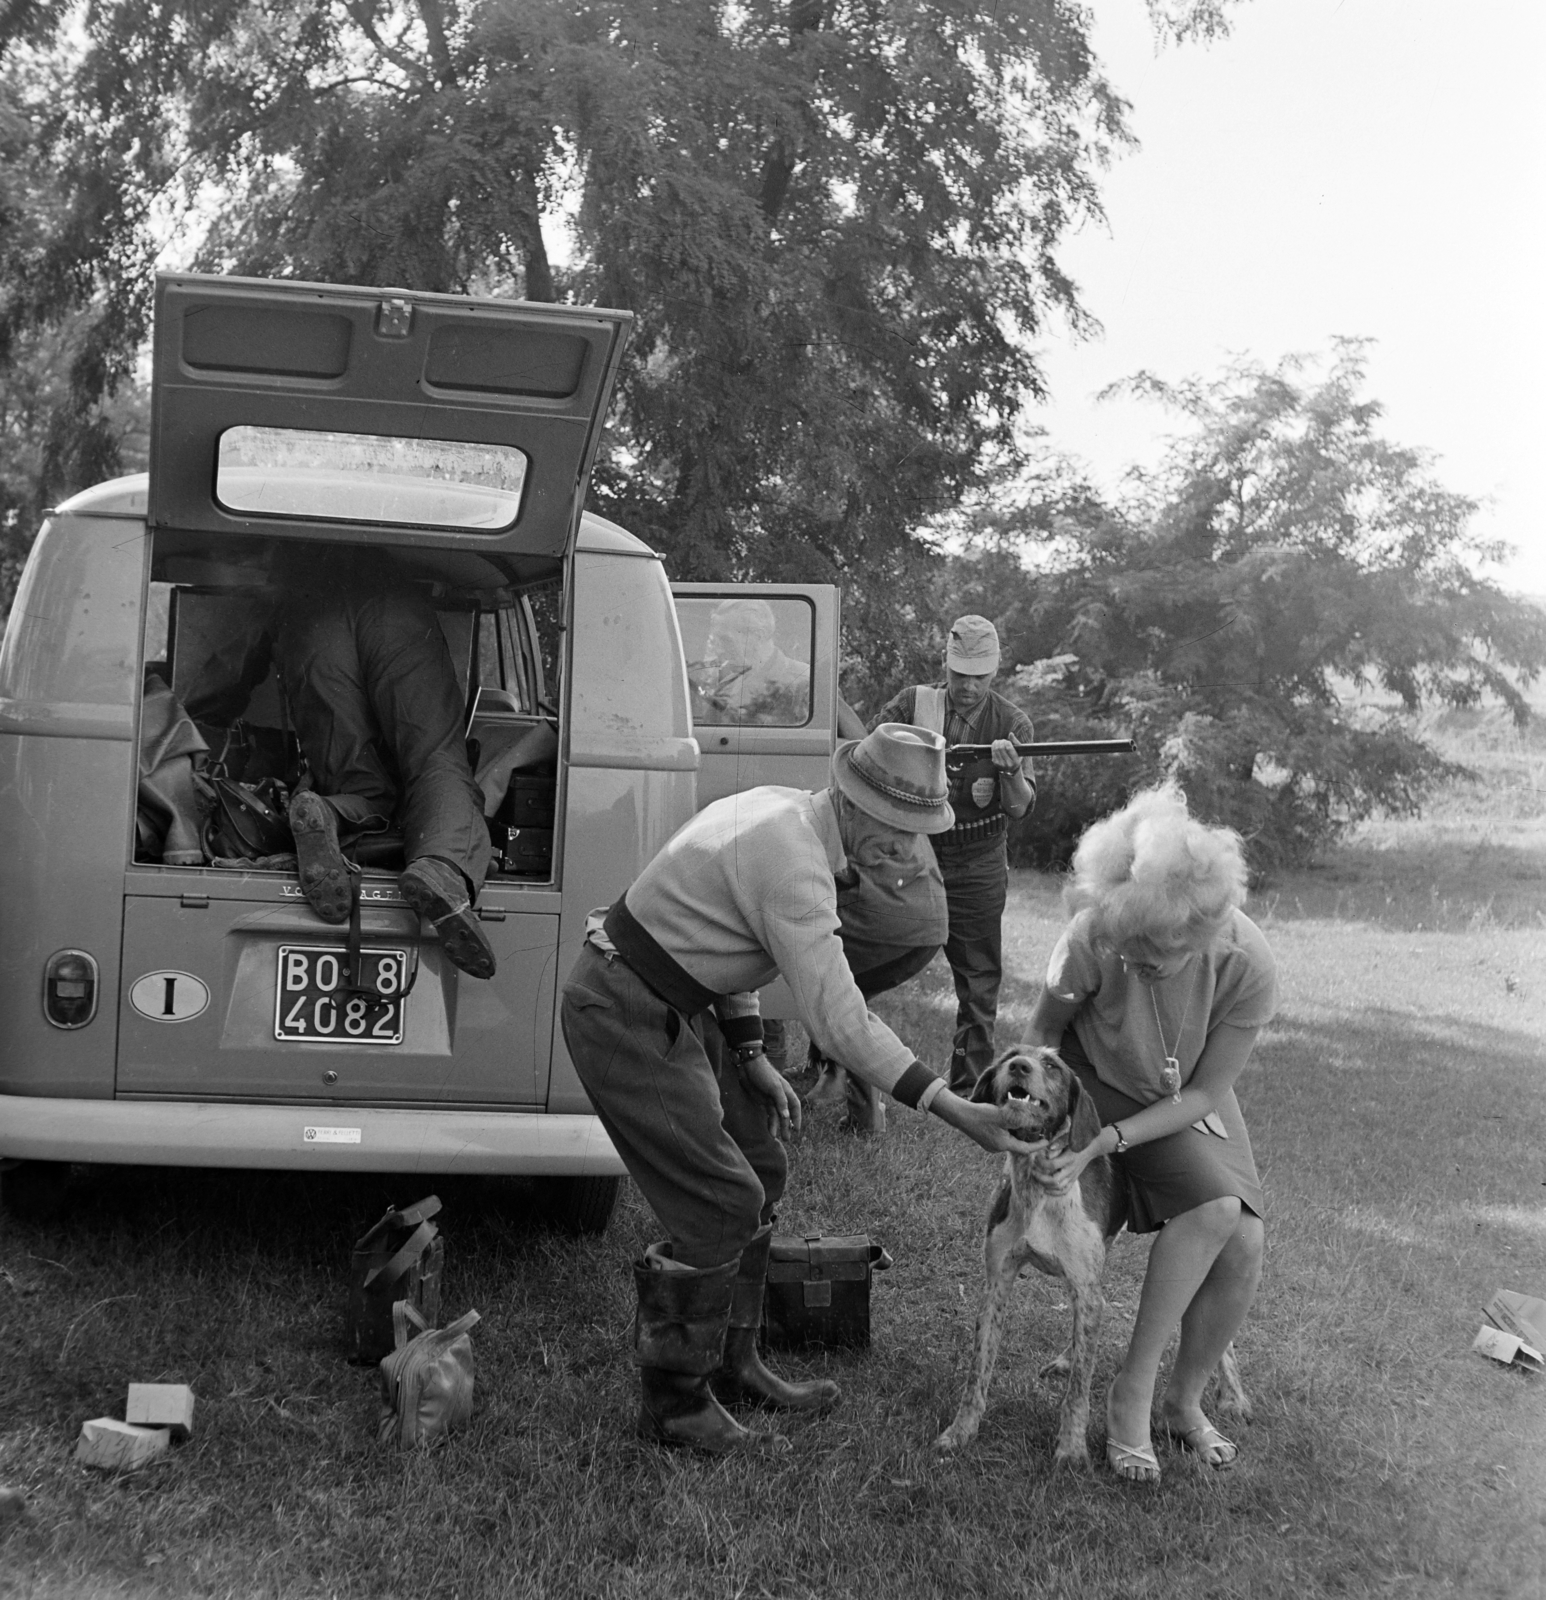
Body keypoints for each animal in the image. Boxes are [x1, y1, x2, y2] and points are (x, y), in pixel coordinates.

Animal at [934, 1043, 1248, 1465]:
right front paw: (961, 1432)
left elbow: (1079, 1391)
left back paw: (1234, 1397)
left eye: (1052, 1065)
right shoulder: (997, 1284)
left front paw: (1071, 1450)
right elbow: (978, 1373)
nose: (1019, 1067)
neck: (1037, 1185)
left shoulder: (1084, 1289)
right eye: (1010, 1055)